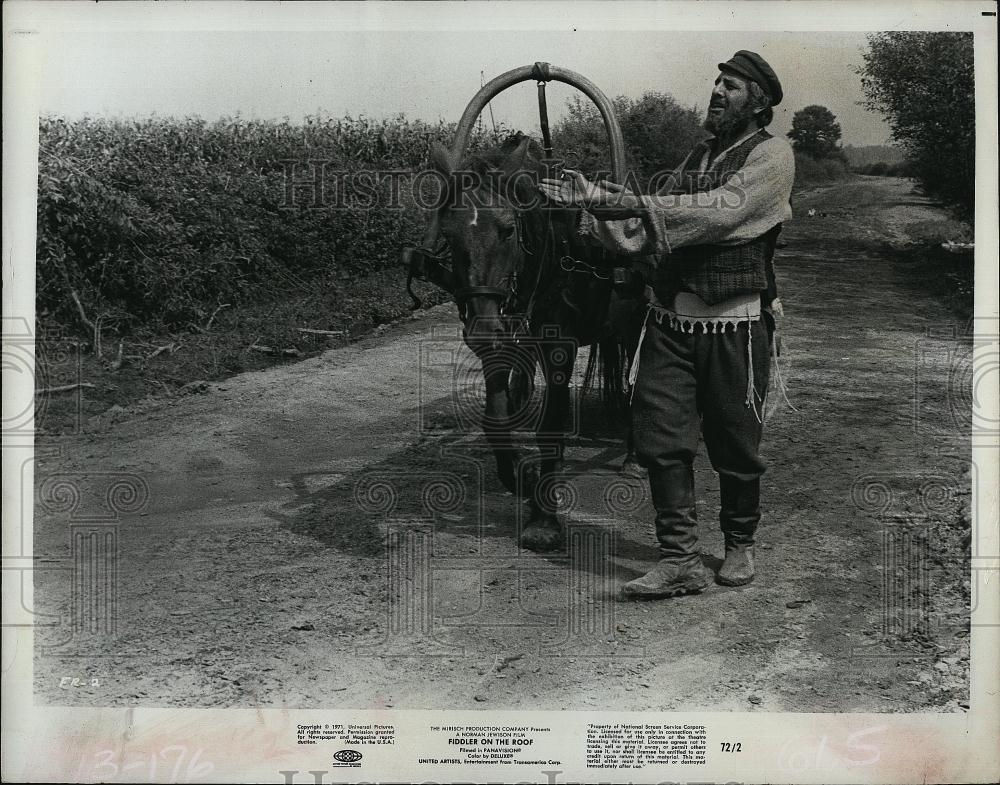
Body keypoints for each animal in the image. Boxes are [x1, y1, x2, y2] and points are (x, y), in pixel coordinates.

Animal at [424, 132, 640, 552]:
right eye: (448, 235)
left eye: (508, 230)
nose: (480, 329)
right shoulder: (501, 337)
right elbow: (496, 419)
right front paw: (519, 479)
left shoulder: (559, 346)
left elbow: (550, 425)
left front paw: (544, 519)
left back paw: (635, 455)